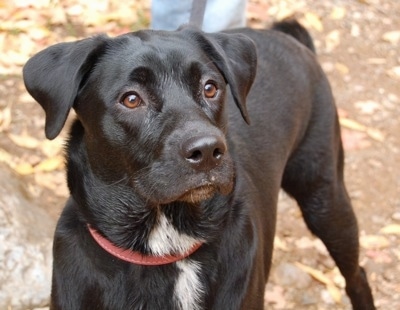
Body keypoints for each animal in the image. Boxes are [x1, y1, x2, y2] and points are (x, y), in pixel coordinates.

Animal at [23, 20, 376, 308]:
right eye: (131, 99)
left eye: (210, 87)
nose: (208, 151)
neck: (168, 248)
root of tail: (288, 38)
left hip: (324, 199)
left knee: (357, 275)